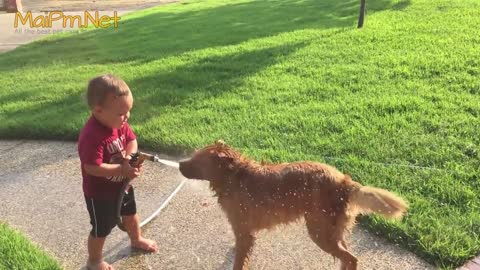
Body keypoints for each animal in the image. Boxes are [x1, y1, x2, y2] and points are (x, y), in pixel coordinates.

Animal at [178, 140, 406, 268]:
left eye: (197, 161)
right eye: (193, 155)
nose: (180, 164)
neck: (233, 177)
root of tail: (344, 182)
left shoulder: (243, 231)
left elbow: (239, 262)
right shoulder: (244, 233)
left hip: (320, 232)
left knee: (351, 259)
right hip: (332, 231)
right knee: (347, 257)